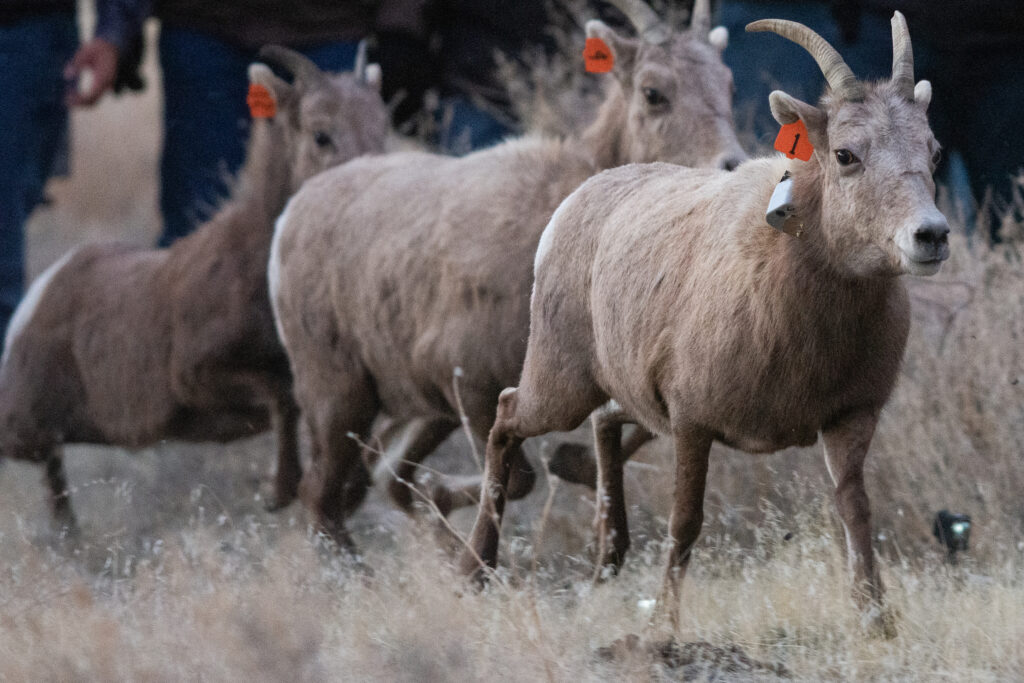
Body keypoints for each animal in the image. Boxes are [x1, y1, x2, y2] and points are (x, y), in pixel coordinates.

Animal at [0, 48, 389, 532]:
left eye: (383, 127)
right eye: (322, 135)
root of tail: (42, 291)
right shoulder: (194, 375)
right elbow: (283, 399)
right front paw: (279, 492)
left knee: (54, 476)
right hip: (23, 424)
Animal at [268, 0, 741, 548]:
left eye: (728, 83)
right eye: (653, 91)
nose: (732, 164)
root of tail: (290, 217)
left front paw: (570, 468)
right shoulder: (468, 380)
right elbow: (521, 477)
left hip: (420, 408)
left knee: (381, 469)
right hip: (339, 394)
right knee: (322, 493)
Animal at [460, 13, 946, 634]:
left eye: (933, 151)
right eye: (844, 154)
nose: (930, 235)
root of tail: (572, 205)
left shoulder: (850, 419)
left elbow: (856, 514)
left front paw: (878, 623)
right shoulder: (693, 422)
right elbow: (685, 522)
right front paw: (661, 631)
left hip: (621, 394)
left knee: (603, 423)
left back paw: (606, 560)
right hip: (558, 386)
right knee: (506, 414)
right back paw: (474, 570)